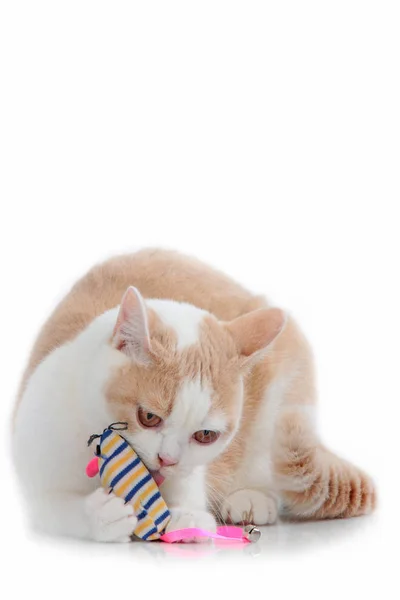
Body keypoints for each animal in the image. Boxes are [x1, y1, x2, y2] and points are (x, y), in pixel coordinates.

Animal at [11, 246, 376, 540]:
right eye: (148, 417)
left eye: (205, 435)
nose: (167, 460)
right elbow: (50, 507)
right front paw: (98, 514)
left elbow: (190, 491)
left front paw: (186, 516)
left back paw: (251, 498)